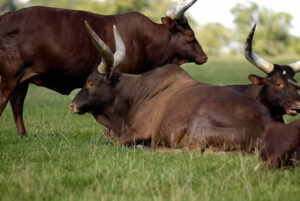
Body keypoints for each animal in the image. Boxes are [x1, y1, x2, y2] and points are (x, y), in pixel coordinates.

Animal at [0, 0, 206, 137]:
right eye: (190, 35)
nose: (204, 56)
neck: (148, 40)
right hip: (10, 77)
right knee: (5, 101)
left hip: (21, 80)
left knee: (17, 104)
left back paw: (23, 136)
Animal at [70, 23, 274, 152]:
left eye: (91, 83)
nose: (72, 105)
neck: (136, 95)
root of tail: (266, 124)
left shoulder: (140, 131)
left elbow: (117, 143)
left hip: (198, 120)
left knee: (188, 151)